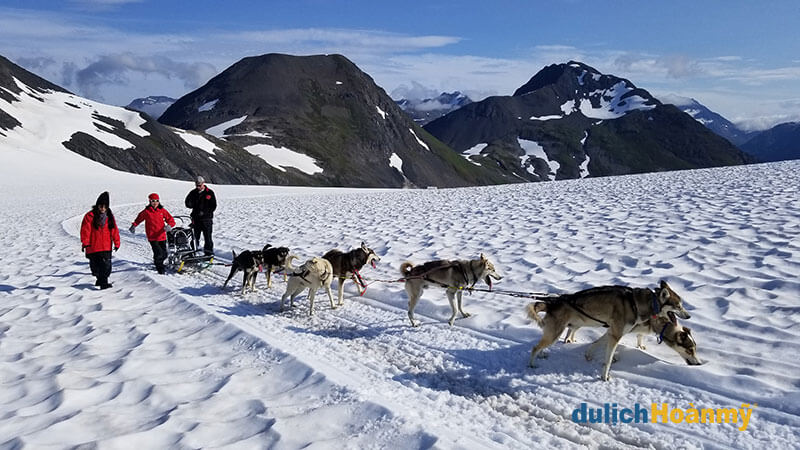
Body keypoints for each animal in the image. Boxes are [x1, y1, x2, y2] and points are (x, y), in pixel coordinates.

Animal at [564, 312, 700, 366]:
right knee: (572, 328)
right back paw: (568, 339)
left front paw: (640, 346)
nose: (699, 363)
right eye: (690, 350)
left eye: (695, 349)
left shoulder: (641, 330)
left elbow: (640, 336)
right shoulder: (617, 330)